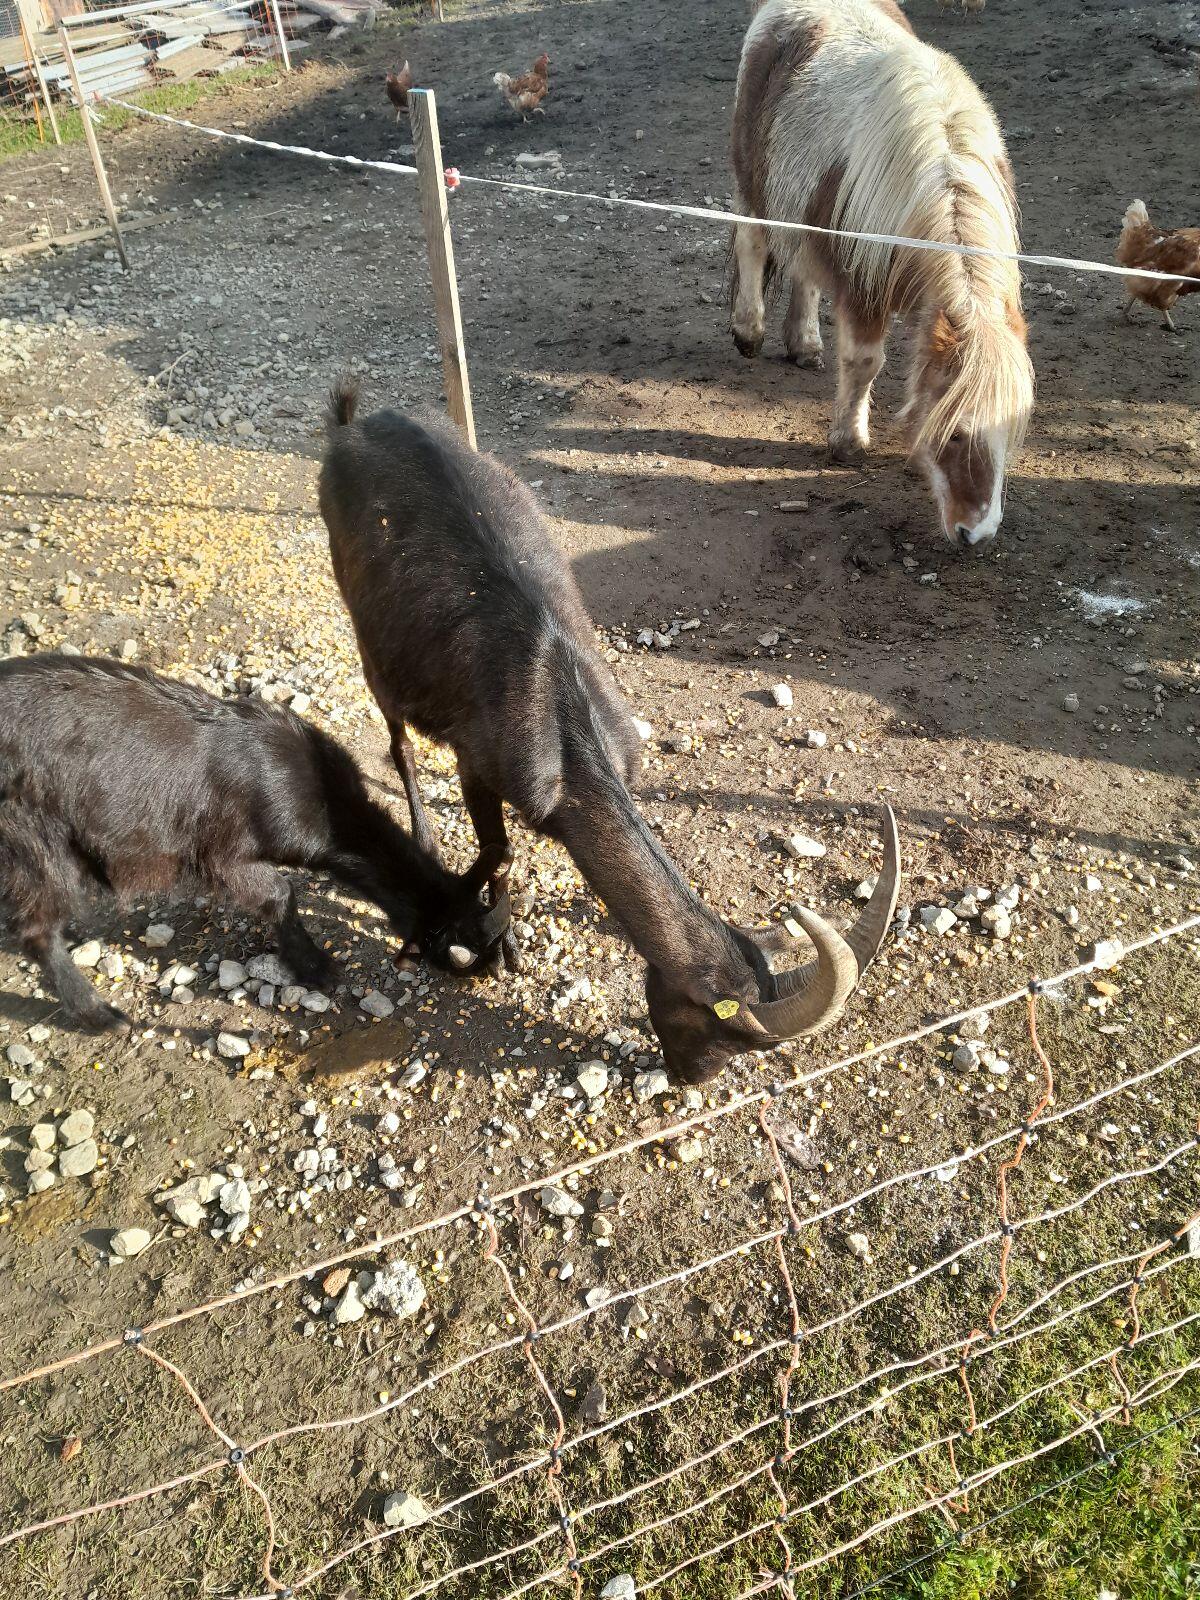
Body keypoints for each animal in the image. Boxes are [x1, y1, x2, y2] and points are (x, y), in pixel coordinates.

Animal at [0, 654, 508, 1032]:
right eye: (460, 945)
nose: (491, 975)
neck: (326, 800)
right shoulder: (220, 854)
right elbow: (279, 894)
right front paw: (315, 968)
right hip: (29, 836)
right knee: (36, 929)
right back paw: (99, 1016)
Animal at [319, 385, 901, 1082]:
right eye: (725, 1033)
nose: (689, 1079)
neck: (569, 735)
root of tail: (353, 425)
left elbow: (502, 856)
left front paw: (501, 942)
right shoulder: (477, 760)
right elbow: (499, 851)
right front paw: (459, 930)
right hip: (362, 624)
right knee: (397, 737)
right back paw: (423, 829)